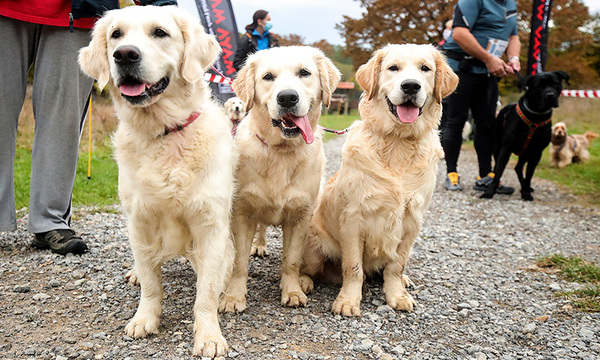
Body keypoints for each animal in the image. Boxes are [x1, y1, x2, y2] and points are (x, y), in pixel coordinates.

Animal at [79, 5, 237, 358]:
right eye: (116, 35)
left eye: (160, 33)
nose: (125, 55)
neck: (165, 132)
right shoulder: (139, 220)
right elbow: (152, 283)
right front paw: (145, 318)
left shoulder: (211, 224)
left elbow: (206, 291)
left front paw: (209, 336)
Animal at [219, 46, 342, 314]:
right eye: (268, 77)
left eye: (304, 72)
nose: (287, 97)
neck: (281, 152)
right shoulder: (242, 211)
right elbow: (239, 261)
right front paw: (233, 296)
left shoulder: (301, 215)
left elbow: (292, 260)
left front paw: (292, 291)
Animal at [298, 44, 458, 316]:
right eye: (393, 68)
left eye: (425, 68)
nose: (411, 86)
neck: (397, 143)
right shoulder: (352, 218)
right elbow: (353, 268)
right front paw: (348, 301)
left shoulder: (412, 221)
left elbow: (396, 266)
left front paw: (397, 294)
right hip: (314, 245)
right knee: (308, 268)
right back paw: (302, 282)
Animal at [480, 69, 568, 200]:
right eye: (539, 86)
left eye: (555, 84)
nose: (550, 95)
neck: (535, 116)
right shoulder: (506, 149)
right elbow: (498, 172)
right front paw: (489, 191)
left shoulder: (536, 152)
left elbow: (529, 175)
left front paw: (526, 192)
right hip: (498, 148)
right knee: (500, 168)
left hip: (526, 153)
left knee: (518, 168)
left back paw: (525, 187)